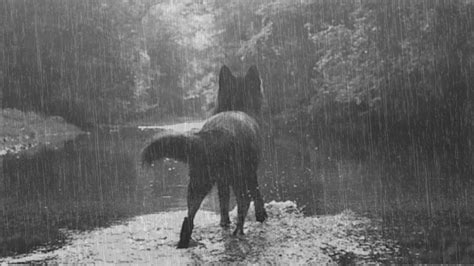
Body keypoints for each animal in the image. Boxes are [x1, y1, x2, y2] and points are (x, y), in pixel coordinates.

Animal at [141, 65, 266, 248]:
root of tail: (218, 133)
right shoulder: (251, 174)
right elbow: (257, 196)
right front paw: (261, 216)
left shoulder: (222, 182)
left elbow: (223, 205)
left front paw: (224, 223)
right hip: (237, 178)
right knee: (244, 202)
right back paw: (238, 232)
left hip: (197, 184)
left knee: (188, 219)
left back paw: (186, 242)